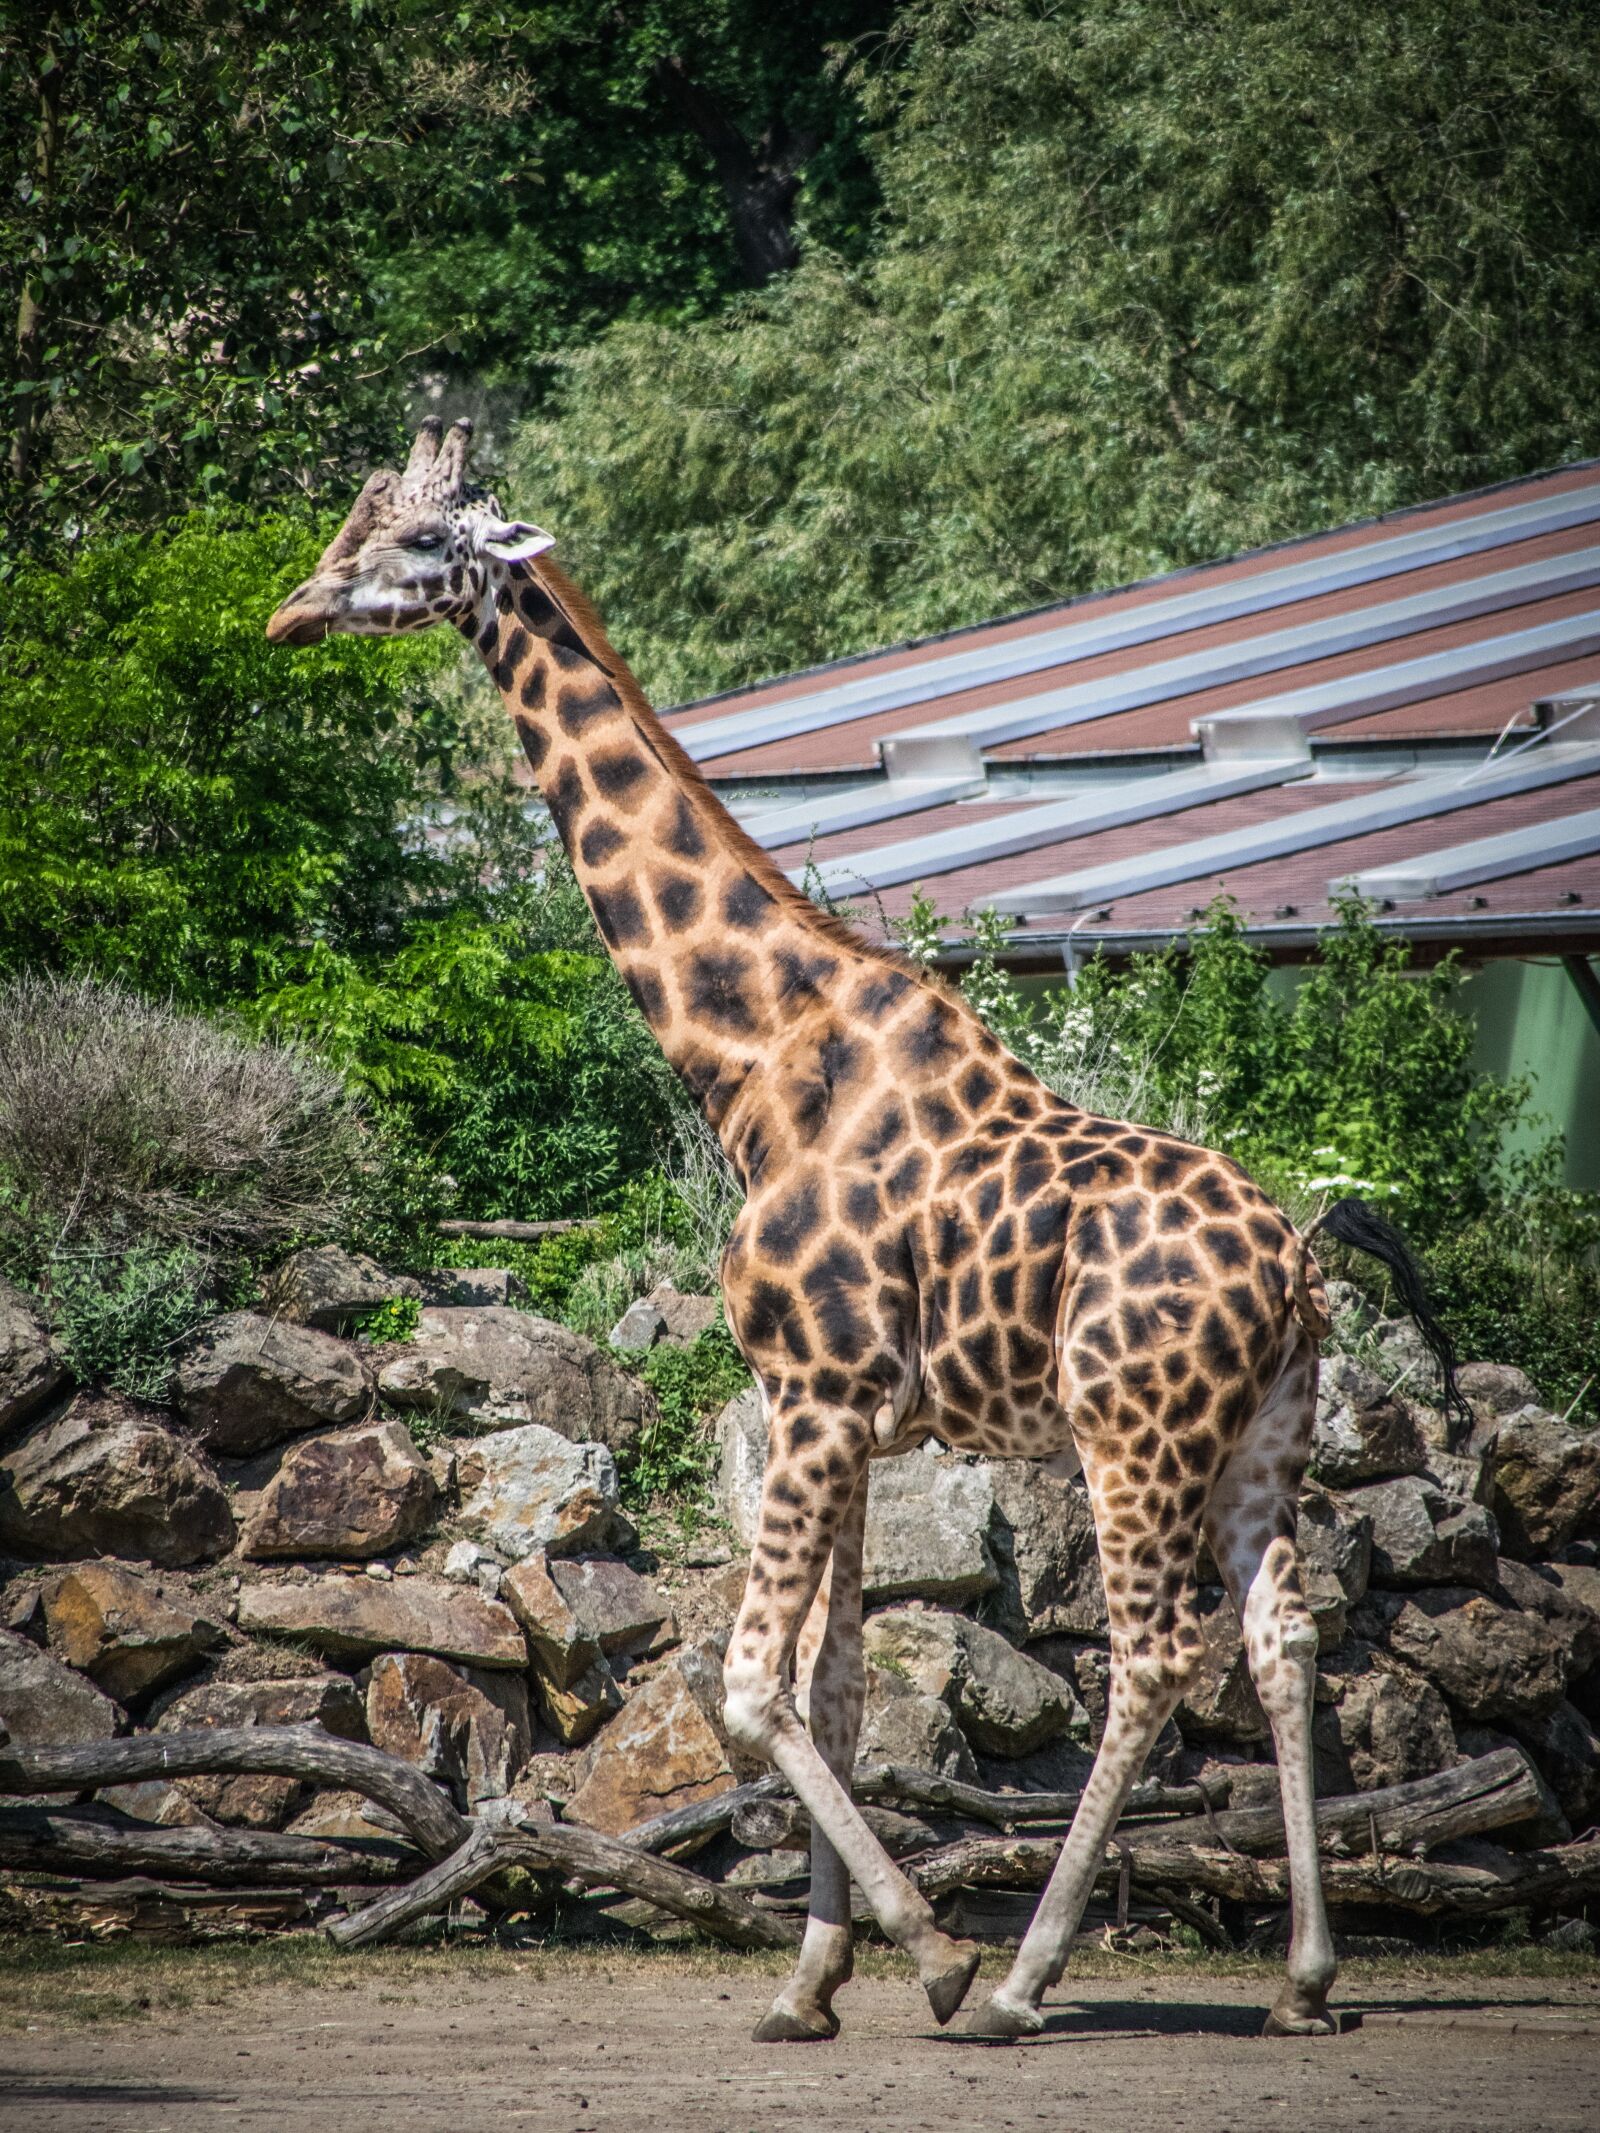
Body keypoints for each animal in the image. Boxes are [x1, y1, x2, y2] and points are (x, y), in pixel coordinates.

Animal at [267, 418, 1464, 2044]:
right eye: (354, 522)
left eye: (410, 543)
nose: (288, 614)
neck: (757, 1058)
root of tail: (1297, 1264)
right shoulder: (849, 1415)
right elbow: (833, 1688)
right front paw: (809, 1984)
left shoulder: (816, 1391)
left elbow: (754, 1684)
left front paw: (927, 1954)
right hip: (1262, 1440)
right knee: (1282, 1642)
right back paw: (1305, 1977)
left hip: (1131, 1433)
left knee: (1157, 1656)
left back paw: (1025, 1976)